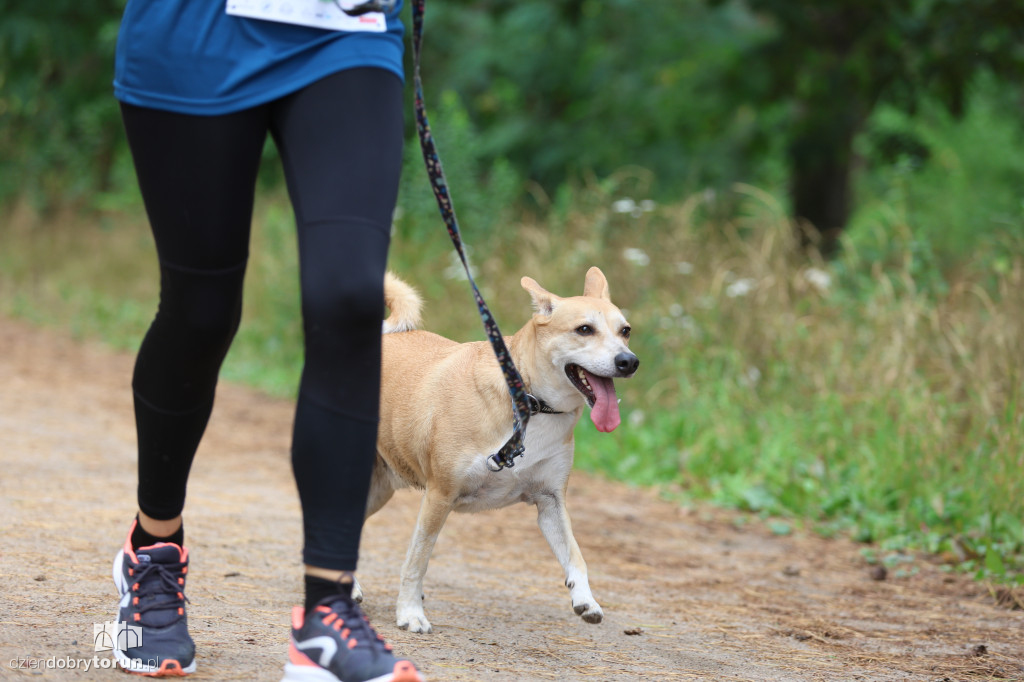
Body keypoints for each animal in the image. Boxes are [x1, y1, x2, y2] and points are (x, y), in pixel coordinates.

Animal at [356, 266, 634, 630]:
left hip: (379, 490)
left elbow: (576, 556)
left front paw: (585, 599)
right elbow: (418, 560)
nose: (629, 361)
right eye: (584, 329)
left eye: (625, 331)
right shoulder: (439, 495)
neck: (528, 401)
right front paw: (410, 612)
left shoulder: (550, 502)